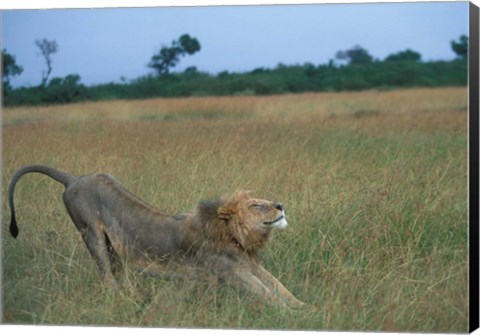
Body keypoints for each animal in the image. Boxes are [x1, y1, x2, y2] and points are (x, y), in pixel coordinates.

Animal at [7, 165, 306, 310]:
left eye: (265, 201)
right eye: (256, 205)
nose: (280, 205)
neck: (235, 237)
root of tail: (74, 178)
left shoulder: (249, 264)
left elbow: (280, 288)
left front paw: (304, 306)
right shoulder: (230, 271)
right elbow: (266, 294)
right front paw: (292, 316)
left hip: (112, 244)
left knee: (118, 272)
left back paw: (135, 299)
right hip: (91, 233)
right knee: (106, 276)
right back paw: (122, 302)